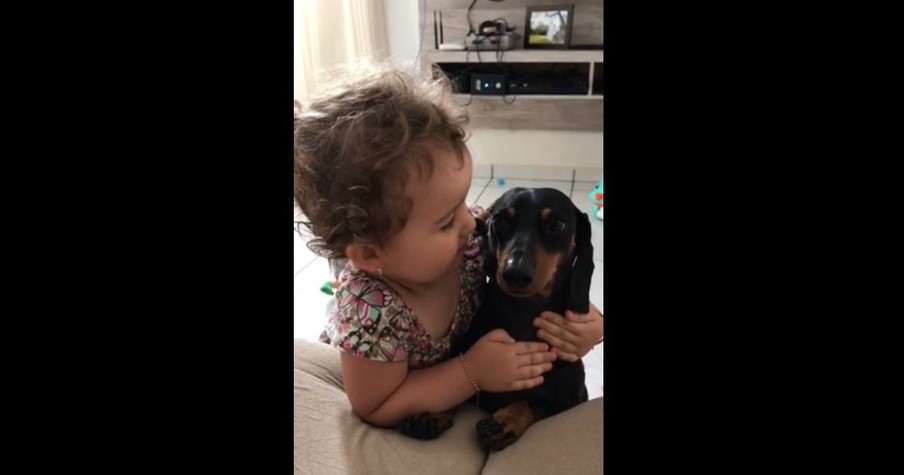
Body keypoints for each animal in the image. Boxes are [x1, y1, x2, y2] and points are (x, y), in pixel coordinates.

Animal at [400, 188, 596, 452]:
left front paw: (503, 422)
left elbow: (530, 403)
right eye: (501, 220)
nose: (515, 273)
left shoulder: (569, 400)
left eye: (557, 224)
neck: (522, 315)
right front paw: (433, 414)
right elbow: (458, 389)